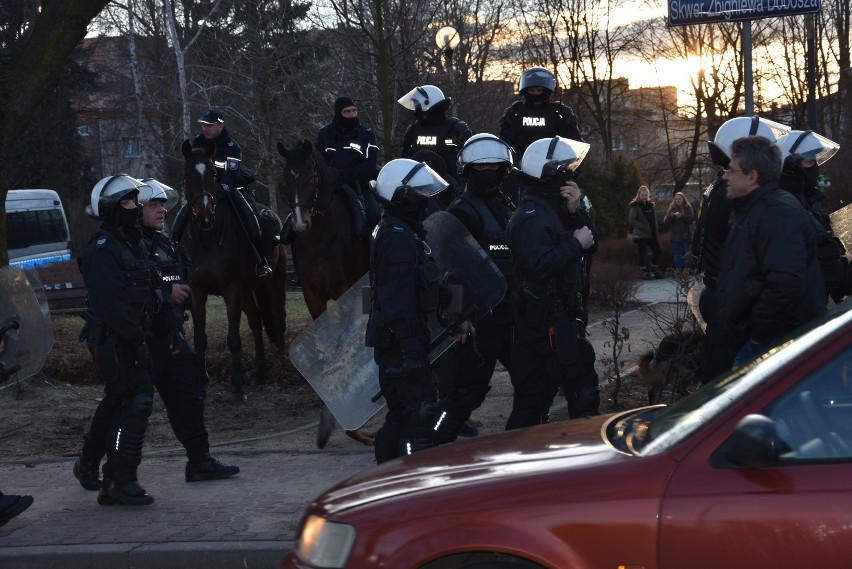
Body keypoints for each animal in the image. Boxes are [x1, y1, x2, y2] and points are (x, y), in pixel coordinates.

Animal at [179, 139, 286, 402]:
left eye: (213, 174)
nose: (205, 217)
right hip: (248, 290)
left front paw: (238, 388)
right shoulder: (197, 291)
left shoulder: (231, 289)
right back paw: (258, 372)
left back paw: (281, 361)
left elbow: (234, 339)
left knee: (277, 316)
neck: (207, 239)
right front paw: (202, 386)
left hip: (273, 281)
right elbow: (200, 339)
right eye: (187, 175)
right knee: (256, 322)